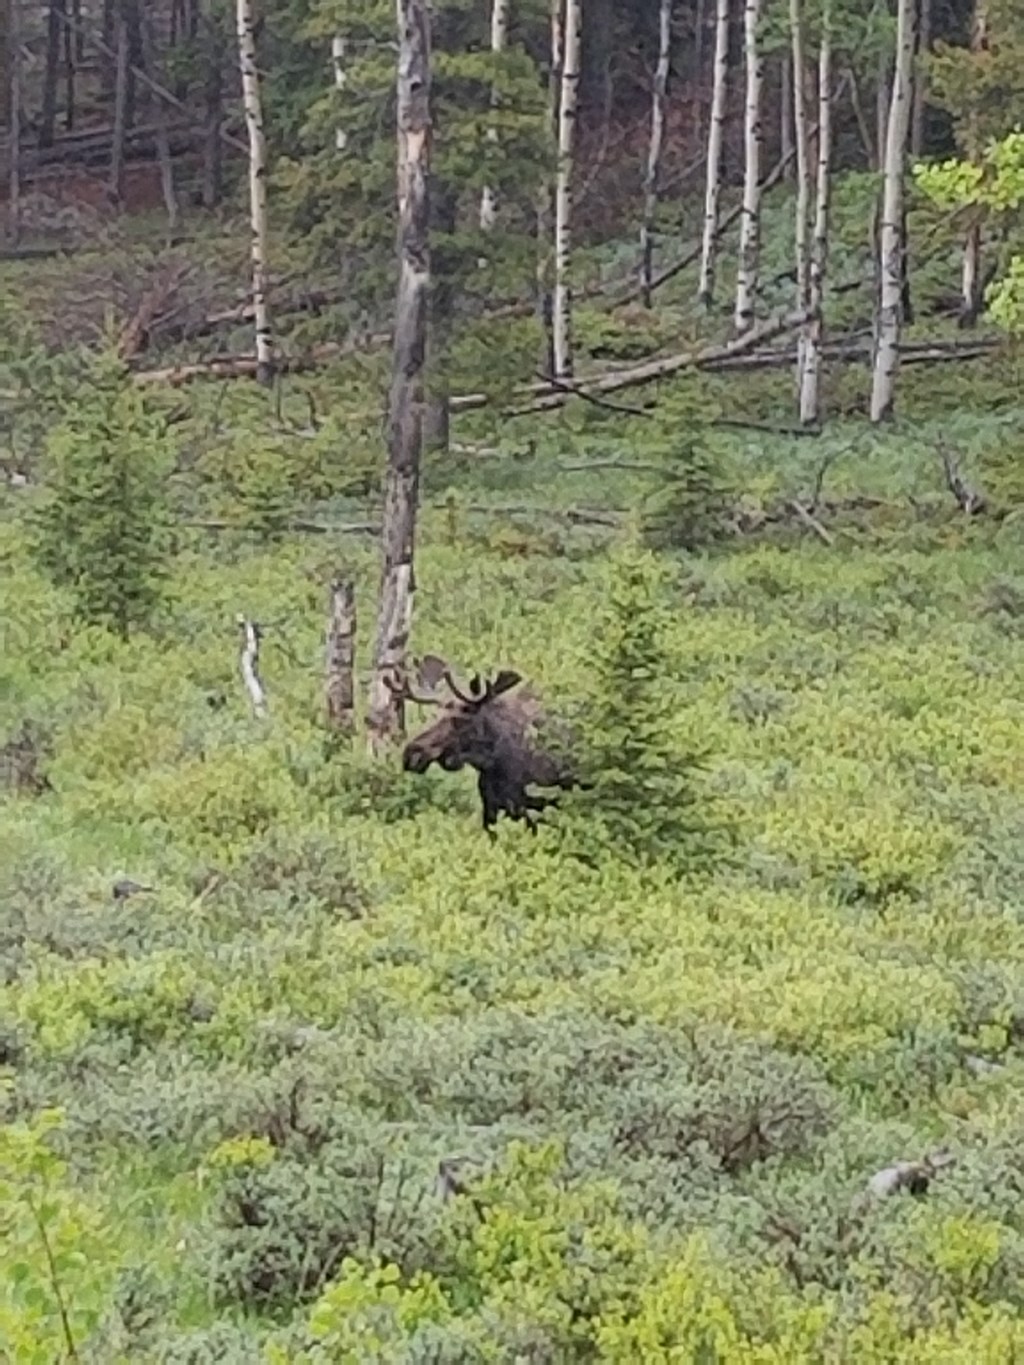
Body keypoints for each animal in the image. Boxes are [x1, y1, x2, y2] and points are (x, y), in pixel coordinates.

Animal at [385, 655, 581, 835]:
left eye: (459, 720)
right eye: (434, 715)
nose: (411, 753)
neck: (495, 763)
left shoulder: (533, 811)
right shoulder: (492, 813)